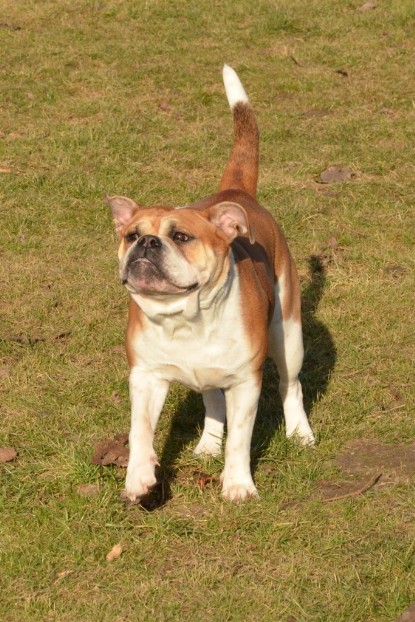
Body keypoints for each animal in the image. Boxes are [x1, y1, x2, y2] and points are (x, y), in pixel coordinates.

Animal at [106, 64, 316, 502]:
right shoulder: (146, 377)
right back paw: (206, 444)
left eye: (181, 236)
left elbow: (240, 438)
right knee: (212, 402)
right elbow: (140, 430)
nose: (148, 243)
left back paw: (300, 433)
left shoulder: (245, 383)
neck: (182, 316)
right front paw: (138, 477)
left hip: (288, 335)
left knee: (291, 386)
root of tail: (236, 192)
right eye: (131, 235)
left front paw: (238, 484)